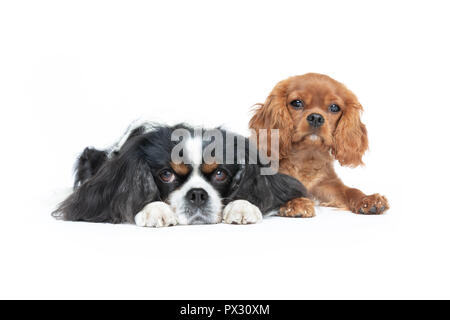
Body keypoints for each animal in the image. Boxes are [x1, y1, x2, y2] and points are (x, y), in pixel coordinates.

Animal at [250, 72, 390, 218]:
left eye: (334, 107)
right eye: (297, 103)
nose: (316, 117)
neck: (307, 156)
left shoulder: (327, 185)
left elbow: (350, 190)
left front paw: (367, 200)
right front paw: (297, 203)